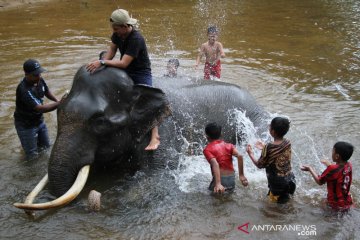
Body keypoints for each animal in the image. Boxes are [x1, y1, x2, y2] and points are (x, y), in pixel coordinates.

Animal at [12, 65, 268, 210]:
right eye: (57, 111)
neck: (138, 87)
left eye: (100, 122)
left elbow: (155, 178)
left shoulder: (164, 134)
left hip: (255, 120)